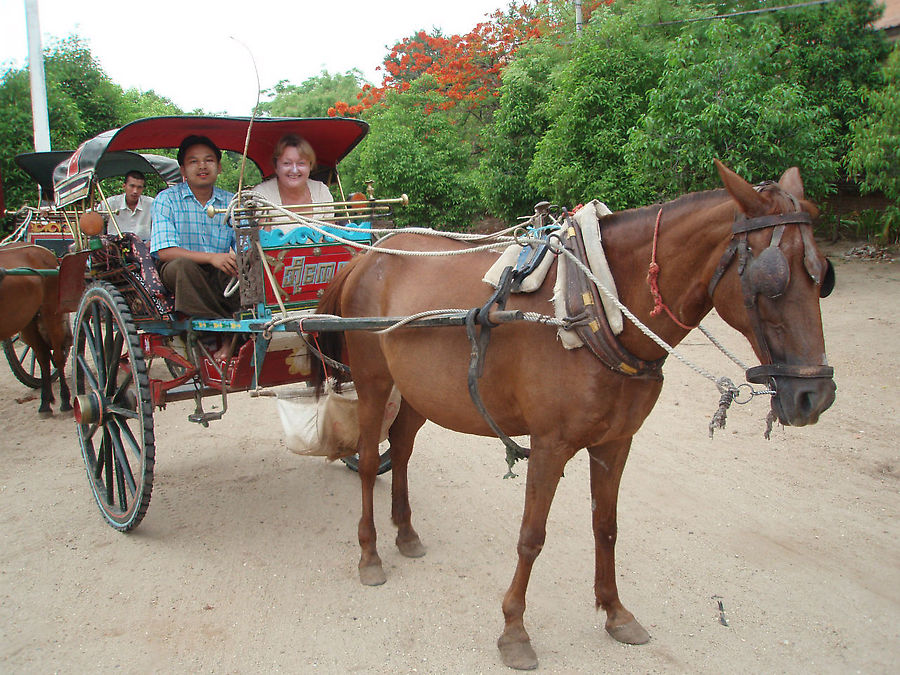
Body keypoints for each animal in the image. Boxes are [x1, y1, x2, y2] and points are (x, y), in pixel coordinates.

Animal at [0, 240, 71, 414]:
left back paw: (65, 400)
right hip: (28, 321)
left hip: (51, 313)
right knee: (43, 357)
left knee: (57, 357)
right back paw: (45, 402)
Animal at [312, 162, 836, 672]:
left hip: (422, 391)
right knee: (367, 458)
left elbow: (606, 526)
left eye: (822, 276)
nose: (815, 395)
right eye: (771, 280)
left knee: (400, 448)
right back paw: (370, 553)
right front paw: (514, 630)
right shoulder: (550, 444)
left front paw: (616, 612)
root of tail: (365, 258)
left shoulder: (616, 441)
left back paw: (405, 532)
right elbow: (531, 536)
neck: (595, 310)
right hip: (374, 380)